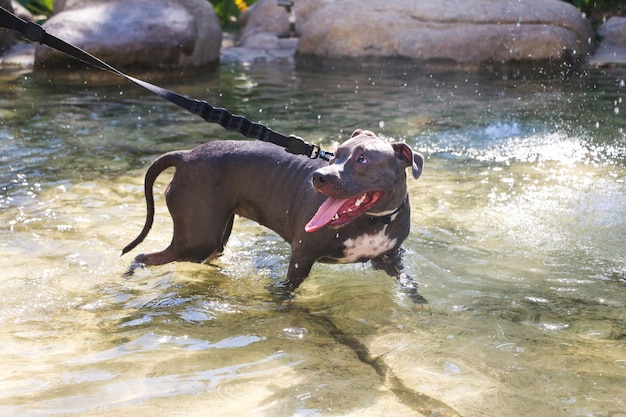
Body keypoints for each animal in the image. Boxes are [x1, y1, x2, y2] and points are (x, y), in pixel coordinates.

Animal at [122, 129, 424, 300]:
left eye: (362, 159)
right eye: (336, 155)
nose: (319, 176)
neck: (374, 218)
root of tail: (185, 155)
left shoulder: (389, 259)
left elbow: (410, 285)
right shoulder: (302, 256)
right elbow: (287, 291)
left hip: (213, 236)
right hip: (196, 240)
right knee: (142, 257)